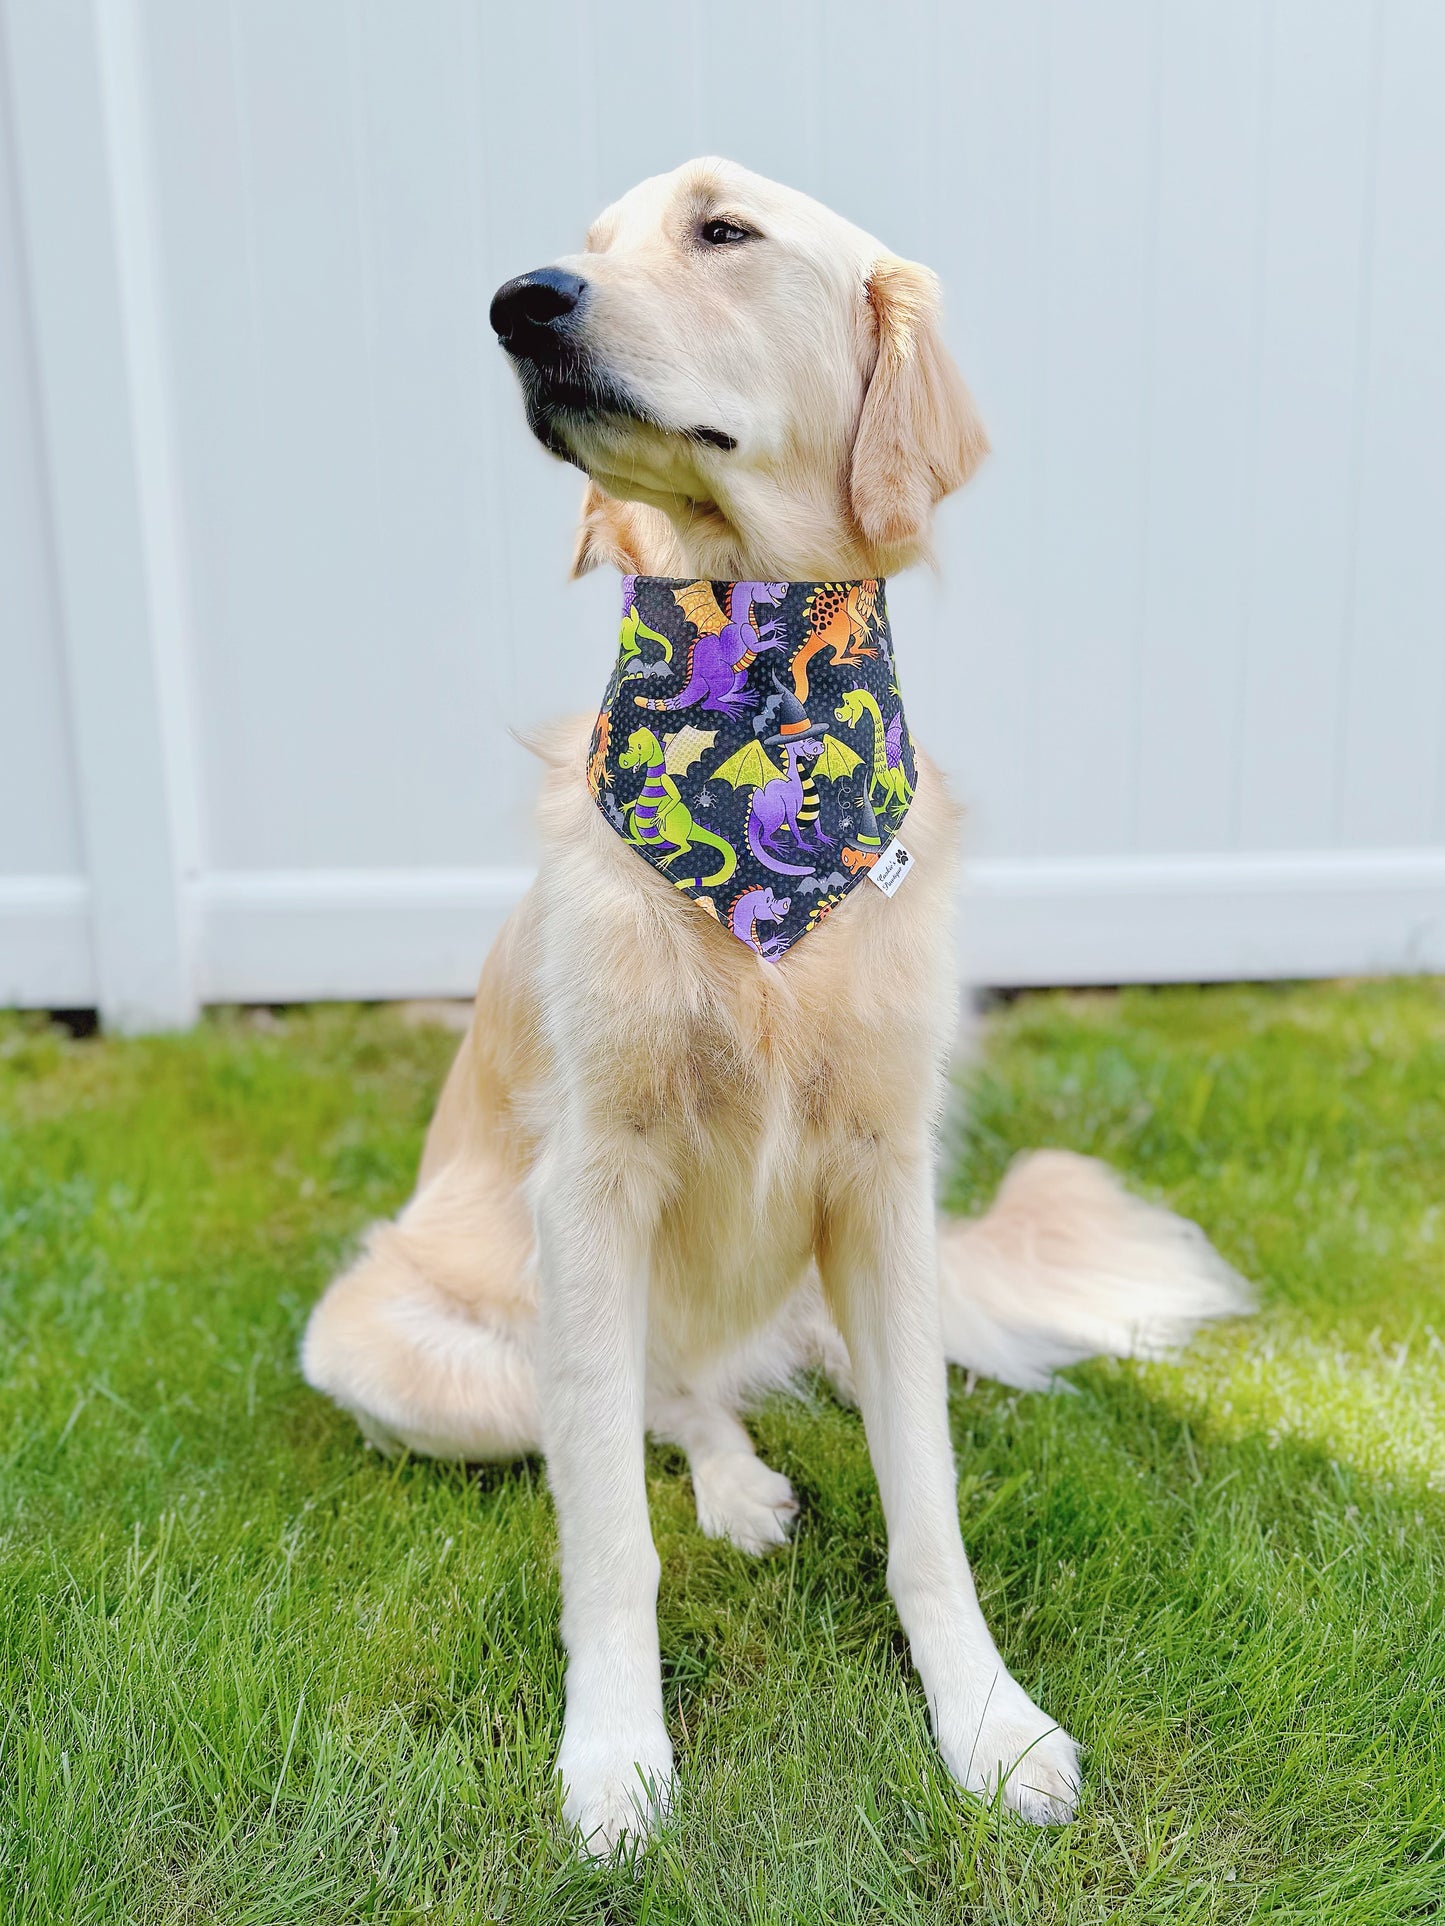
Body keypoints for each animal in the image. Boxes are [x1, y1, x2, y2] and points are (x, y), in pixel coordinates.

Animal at [300, 161, 1248, 1848]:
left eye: (722, 231)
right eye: (589, 249)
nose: (521, 302)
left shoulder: (881, 1177)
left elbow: (926, 1503)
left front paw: (986, 1722)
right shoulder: (587, 1183)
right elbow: (607, 1529)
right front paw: (615, 1752)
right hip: (406, 1356)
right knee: (637, 1405)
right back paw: (726, 1482)